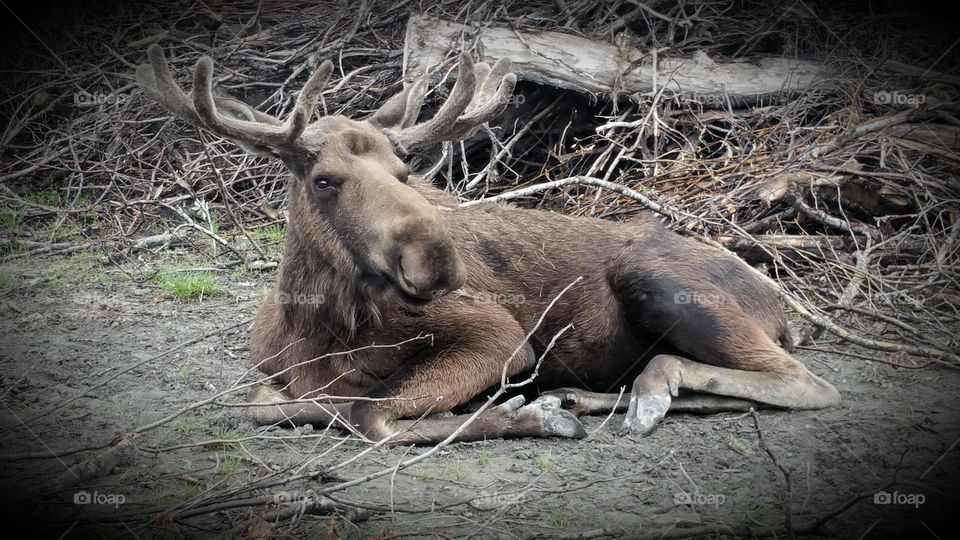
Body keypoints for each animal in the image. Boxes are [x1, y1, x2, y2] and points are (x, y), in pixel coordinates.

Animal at [136, 44, 841, 445]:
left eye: (405, 171)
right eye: (324, 180)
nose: (437, 259)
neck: (317, 328)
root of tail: (784, 314)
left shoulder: (500, 335)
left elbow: (372, 416)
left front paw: (530, 417)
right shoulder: (273, 378)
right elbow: (272, 405)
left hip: (658, 280)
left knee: (805, 381)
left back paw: (644, 388)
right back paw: (596, 395)